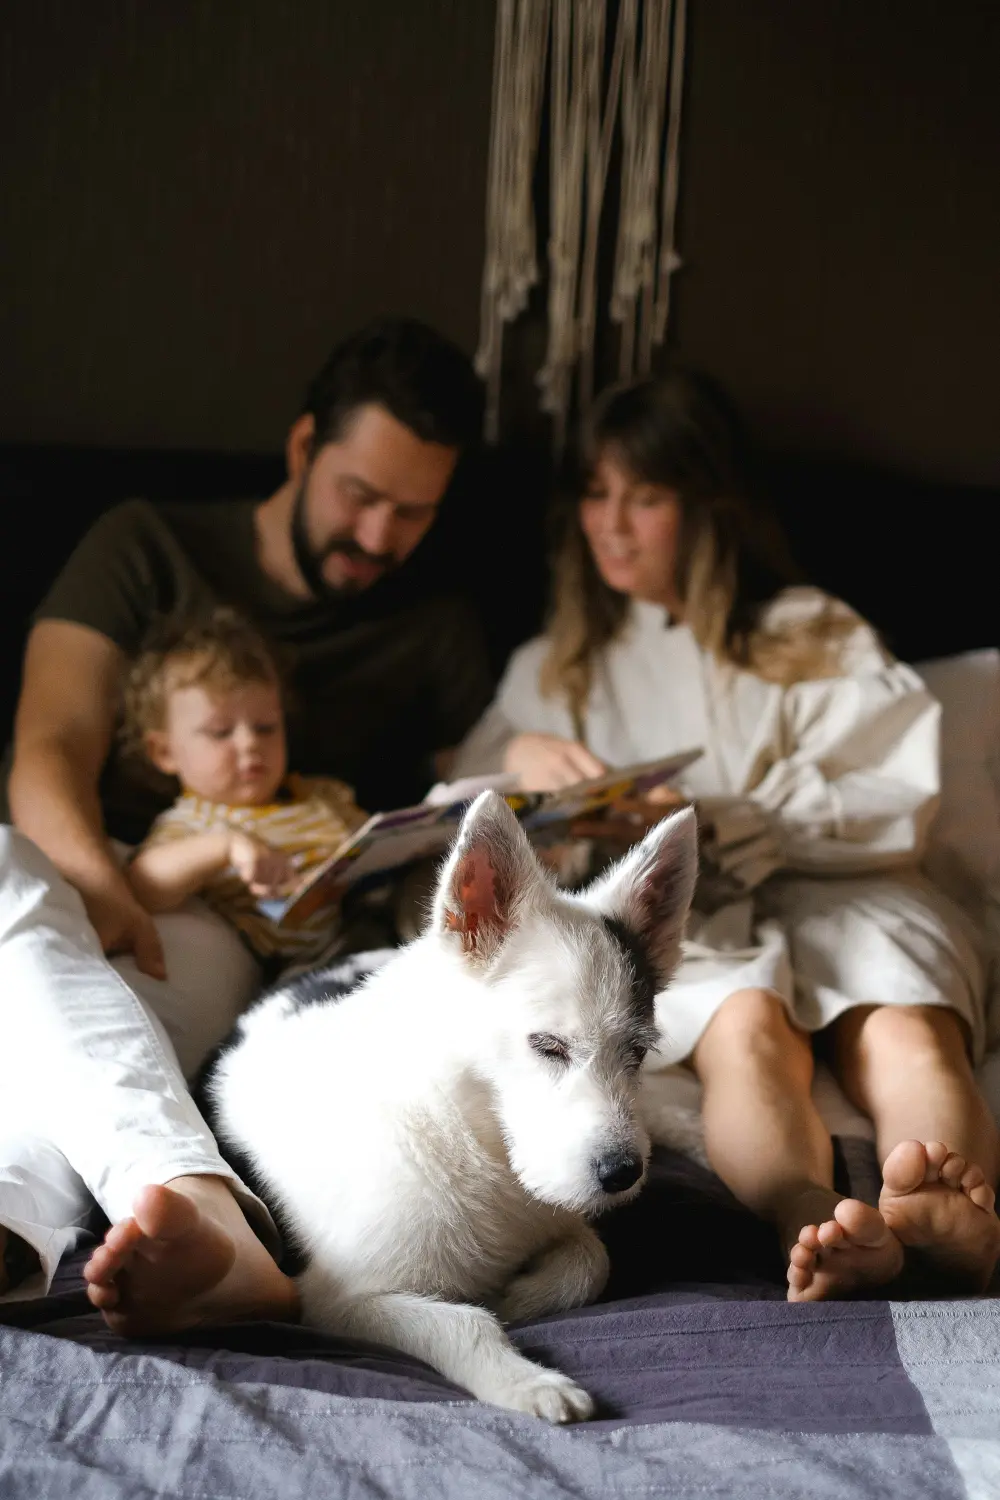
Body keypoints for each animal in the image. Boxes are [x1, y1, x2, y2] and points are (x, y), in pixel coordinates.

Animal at [205, 792, 695, 1422]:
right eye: (547, 1046)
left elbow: (591, 1259)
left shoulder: (560, 1213)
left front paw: (519, 1294)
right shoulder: (337, 1299)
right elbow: (463, 1322)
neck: (471, 1133)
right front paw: (524, 1380)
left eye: (637, 1051)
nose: (623, 1174)